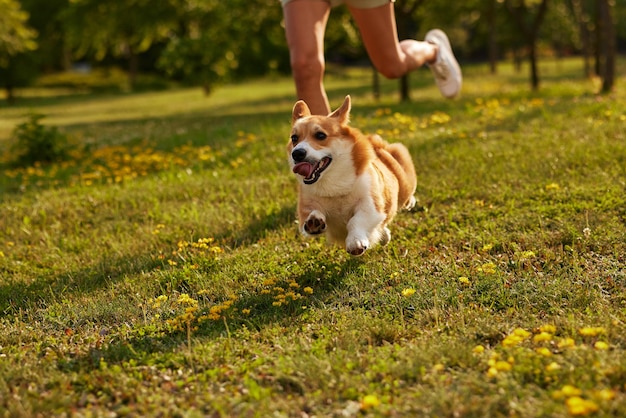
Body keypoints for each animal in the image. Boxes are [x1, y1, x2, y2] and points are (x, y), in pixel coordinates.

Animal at [286, 96, 414, 256]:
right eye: (294, 138)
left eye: (321, 135)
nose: (297, 153)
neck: (334, 186)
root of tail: (376, 144)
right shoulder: (306, 206)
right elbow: (310, 215)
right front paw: (314, 221)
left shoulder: (371, 205)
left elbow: (356, 220)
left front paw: (355, 242)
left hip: (403, 174)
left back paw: (410, 203)